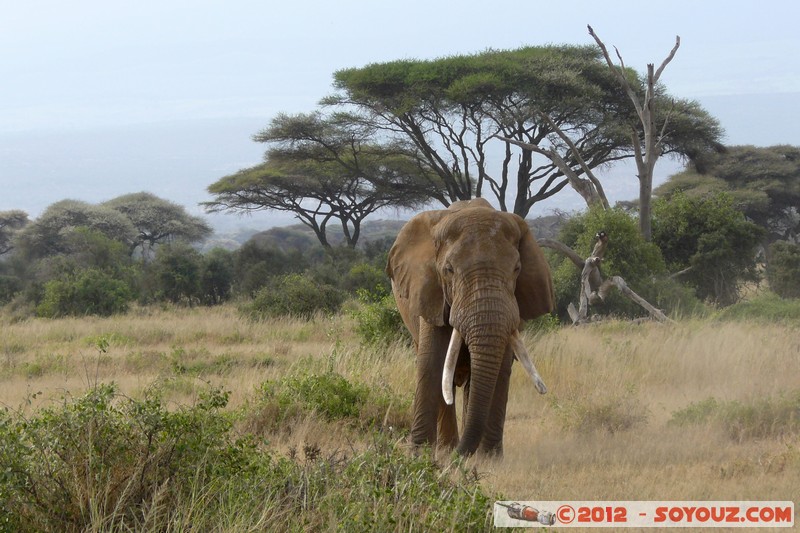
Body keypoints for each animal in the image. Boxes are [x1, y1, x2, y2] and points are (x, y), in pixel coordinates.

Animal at [386, 197, 552, 456]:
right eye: (448, 270)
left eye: (516, 269)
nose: (461, 455)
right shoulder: (431, 294)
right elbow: (431, 362)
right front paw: (418, 456)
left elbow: (500, 369)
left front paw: (488, 459)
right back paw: (446, 450)